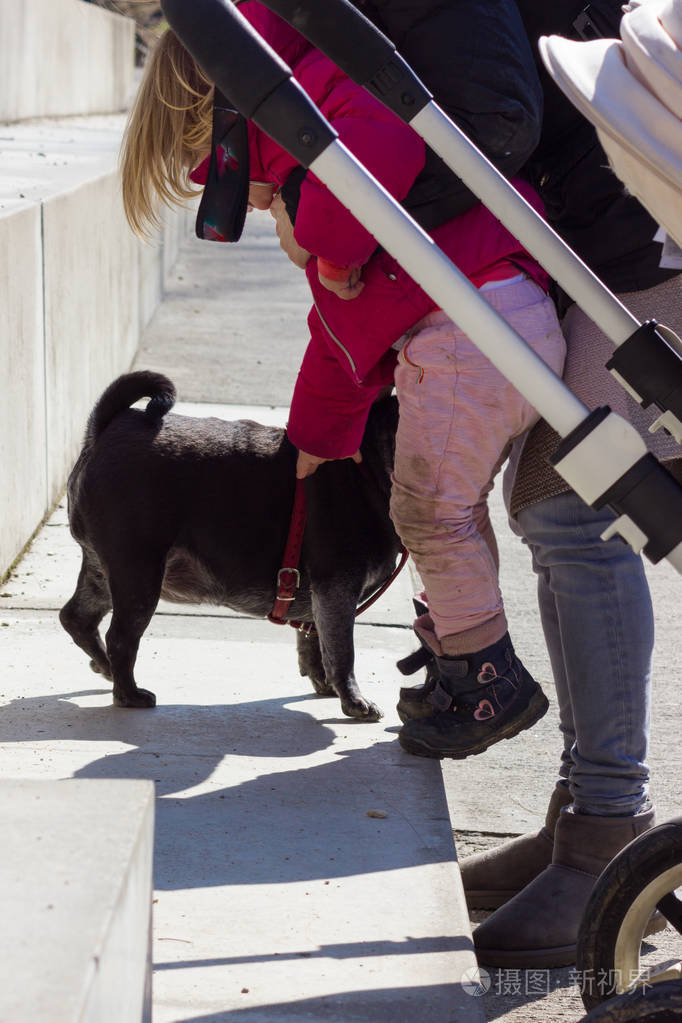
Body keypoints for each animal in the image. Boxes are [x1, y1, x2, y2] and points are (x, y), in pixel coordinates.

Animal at [61, 370, 402, 720]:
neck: (368, 471)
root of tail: (104, 429)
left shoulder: (321, 600)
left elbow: (314, 643)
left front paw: (324, 683)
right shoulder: (337, 591)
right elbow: (342, 653)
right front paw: (353, 700)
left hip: (106, 573)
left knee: (78, 618)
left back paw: (106, 668)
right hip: (138, 573)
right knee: (121, 638)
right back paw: (129, 693)